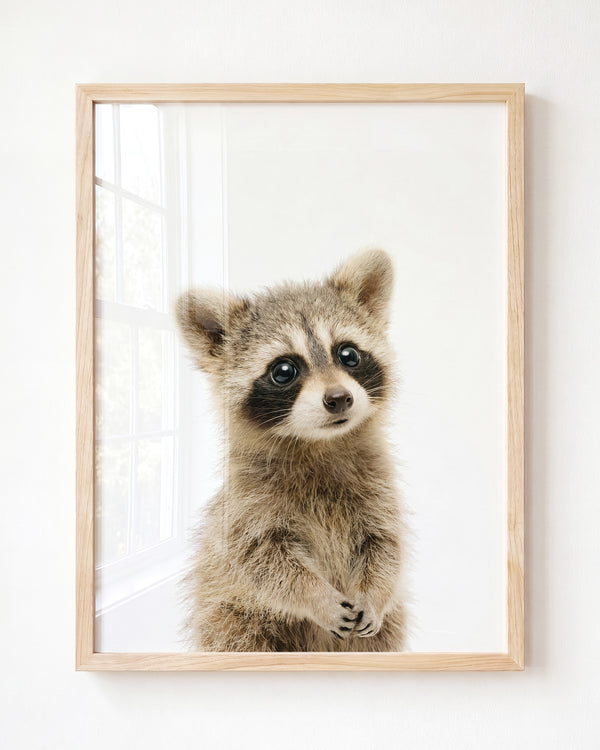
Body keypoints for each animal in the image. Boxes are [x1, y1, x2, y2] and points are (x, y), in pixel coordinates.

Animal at [175, 249, 408, 652]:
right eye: (284, 370)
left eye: (348, 354)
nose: (339, 398)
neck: (319, 444)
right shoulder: (246, 507)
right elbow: (265, 562)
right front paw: (317, 597)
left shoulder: (378, 488)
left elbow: (385, 546)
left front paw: (375, 593)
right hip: (232, 618)